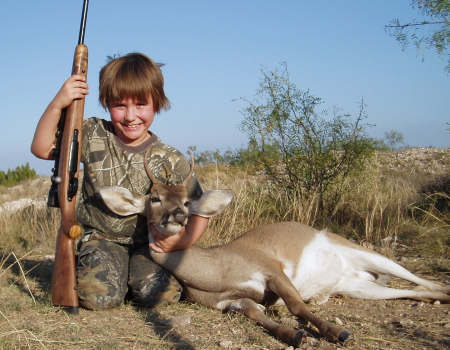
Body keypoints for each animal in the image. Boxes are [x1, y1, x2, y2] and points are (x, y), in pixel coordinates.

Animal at [97, 148, 450, 348]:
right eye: (155, 198)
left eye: (186, 201)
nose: (178, 216)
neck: (219, 270)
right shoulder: (229, 302)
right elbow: (257, 313)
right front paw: (293, 335)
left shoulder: (273, 271)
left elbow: (297, 306)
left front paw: (336, 332)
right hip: (358, 287)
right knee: (416, 292)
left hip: (364, 252)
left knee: (425, 280)